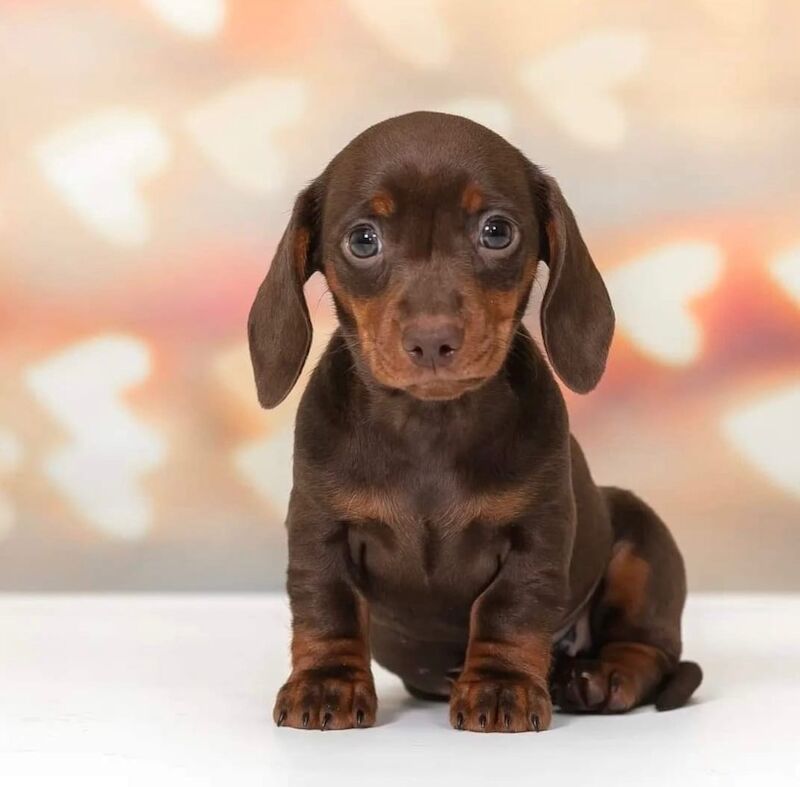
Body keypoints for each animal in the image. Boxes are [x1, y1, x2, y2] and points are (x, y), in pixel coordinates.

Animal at [248, 111, 700, 732]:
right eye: (363, 239)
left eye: (496, 231)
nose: (432, 339)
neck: (429, 426)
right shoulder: (320, 526)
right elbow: (326, 606)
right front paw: (326, 683)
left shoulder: (536, 531)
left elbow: (509, 609)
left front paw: (501, 687)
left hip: (644, 538)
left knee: (648, 647)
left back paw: (597, 678)